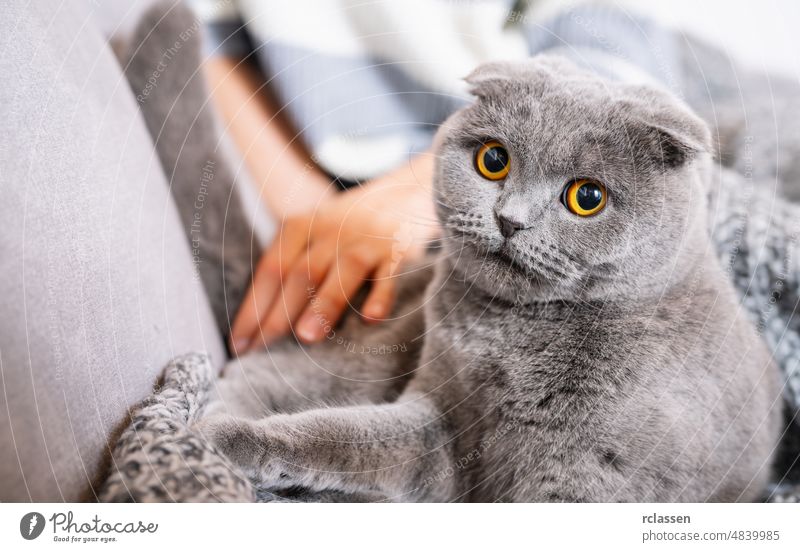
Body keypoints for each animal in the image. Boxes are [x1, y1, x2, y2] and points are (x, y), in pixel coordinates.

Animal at [197, 56, 784, 500]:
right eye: (494, 160)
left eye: (588, 197)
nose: (509, 220)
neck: (504, 337)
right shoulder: (439, 413)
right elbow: (337, 433)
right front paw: (227, 441)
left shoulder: (588, 476)